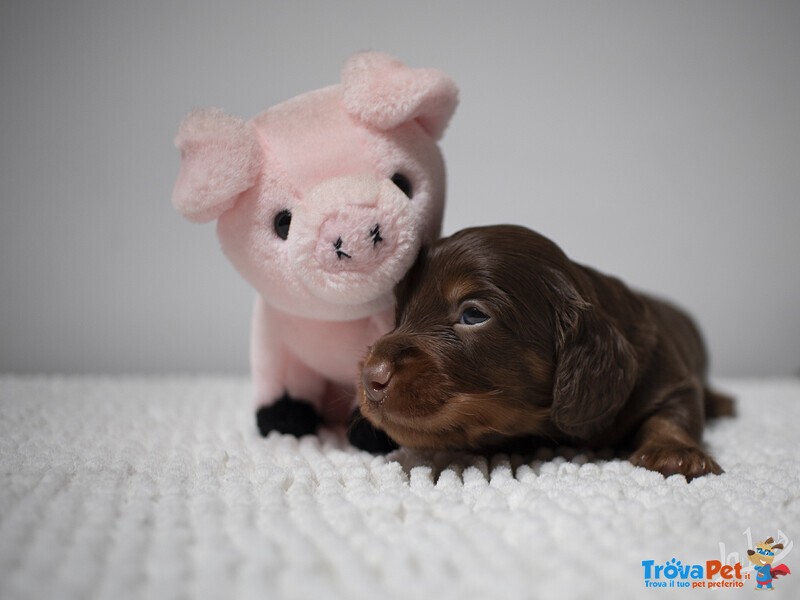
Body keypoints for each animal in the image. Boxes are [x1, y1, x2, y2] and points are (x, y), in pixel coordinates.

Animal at [354, 223, 736, 480]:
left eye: (473, 314)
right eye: (400, 313)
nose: (371, 377)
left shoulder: (668, 373)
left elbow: (675, 413)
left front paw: (674, 453)